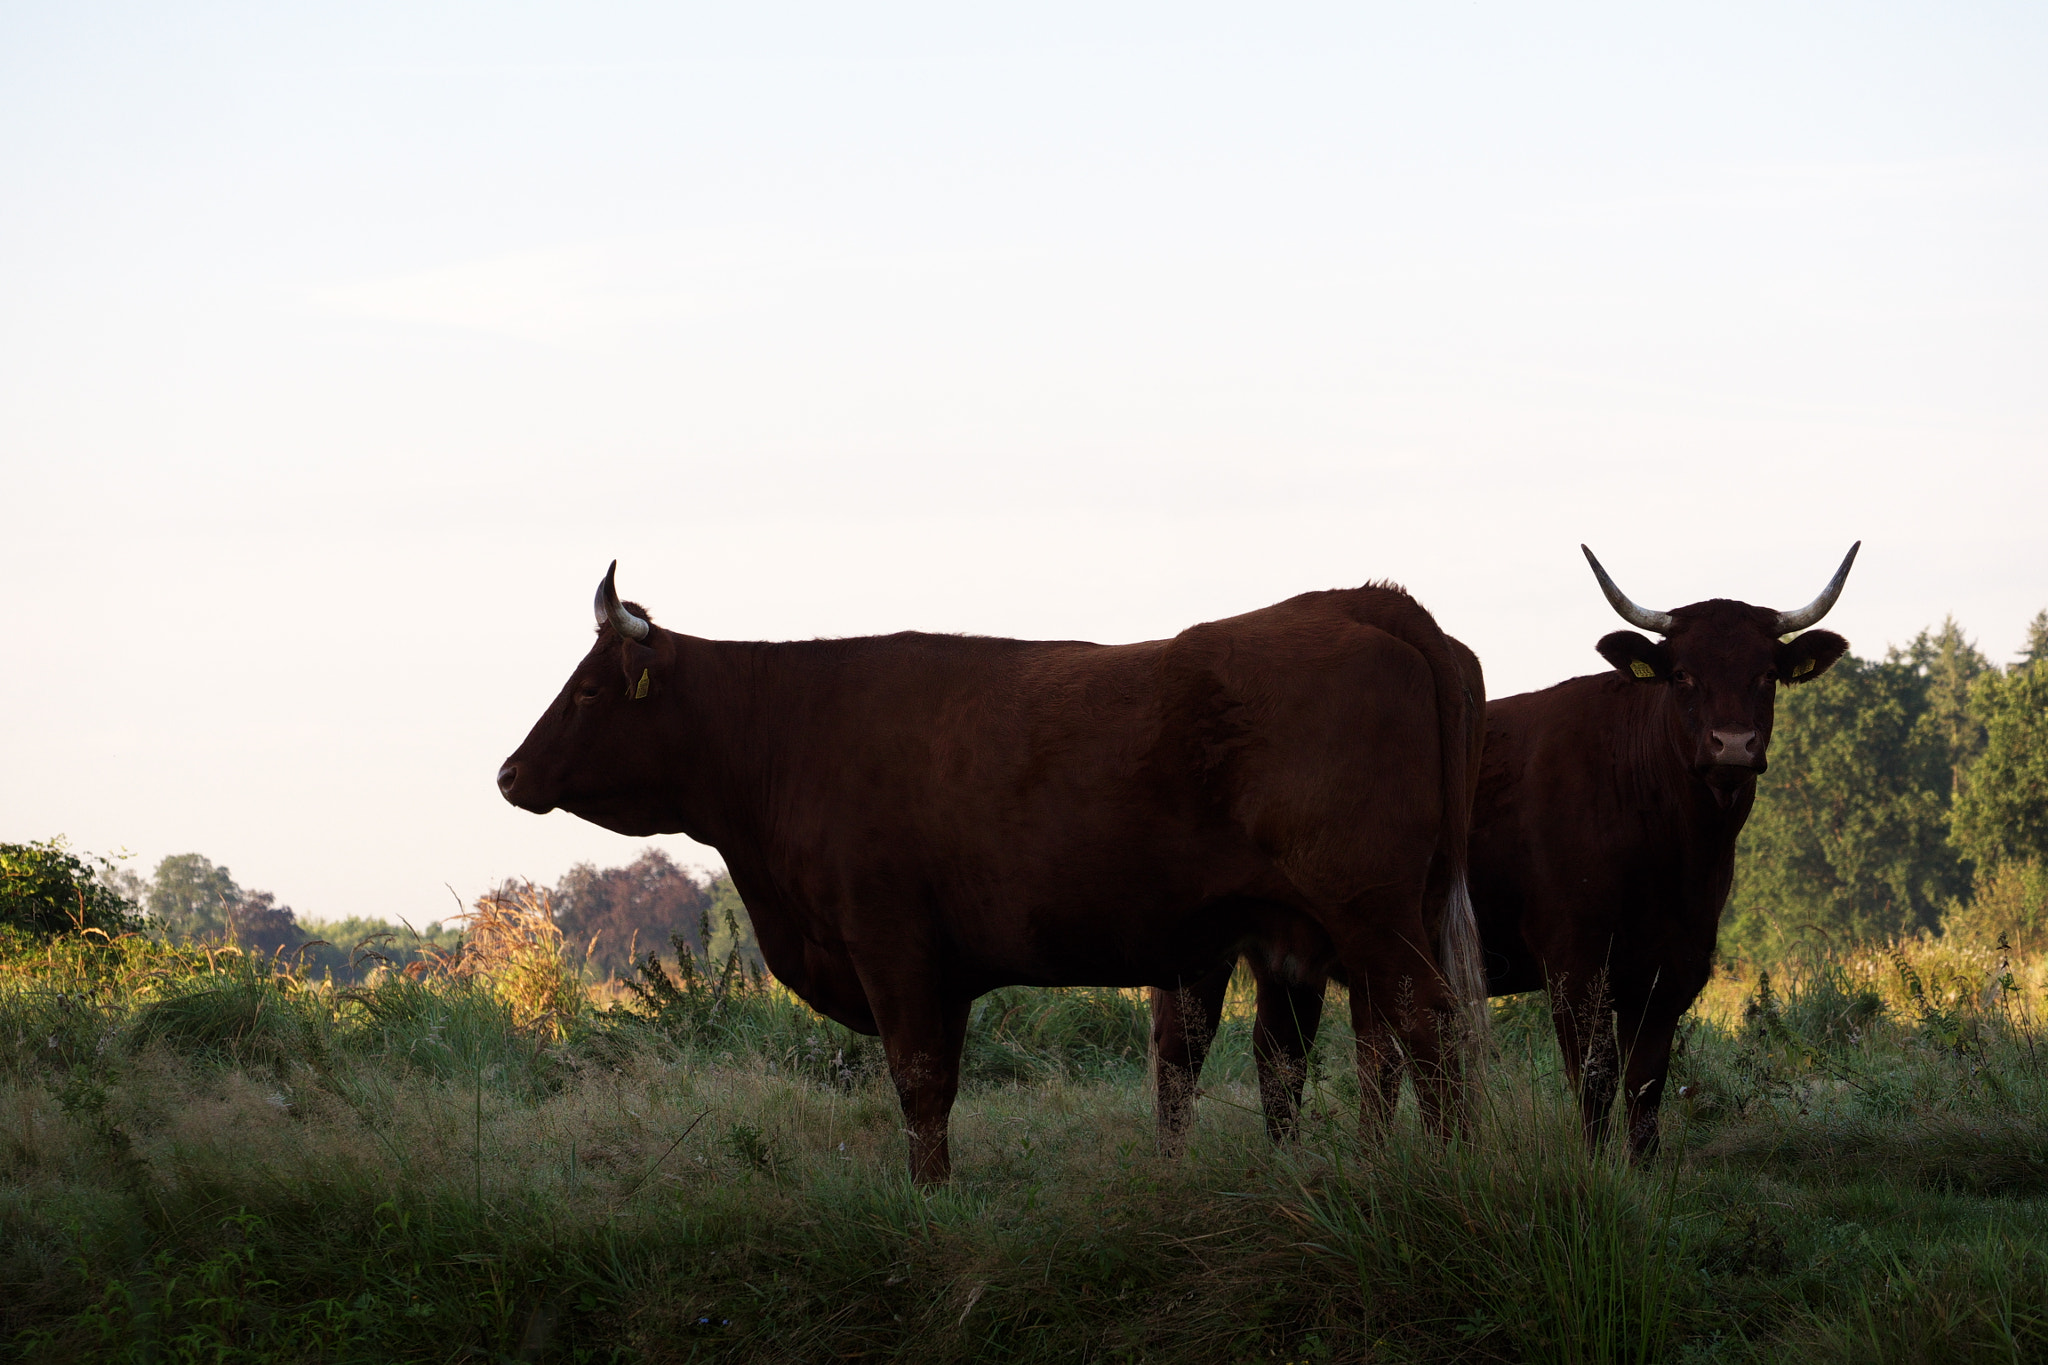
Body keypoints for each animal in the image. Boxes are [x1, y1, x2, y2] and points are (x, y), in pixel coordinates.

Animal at [495, 564, 1490, 1186]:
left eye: (588, 689)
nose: (508, 774)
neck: (784, 732)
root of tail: (1366, 604)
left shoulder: (890, 945)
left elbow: (917, 1082)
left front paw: (929, 1203)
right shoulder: (946, 970)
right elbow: (939, 1086)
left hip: (1371, 914)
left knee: (1427, 1028)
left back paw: (1447, 1174)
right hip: (1362, 922)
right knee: (1388, 1042)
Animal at [1163, 544, 1867, 1162]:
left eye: (1767, 675)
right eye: (1682, 674)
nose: (1733, 745)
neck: (1673, 852)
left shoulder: (1674, 968)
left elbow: (1646, 1088)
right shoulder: (1574, 962)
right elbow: (1595, 1080)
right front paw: (1596, 1175)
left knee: (1287, 1055)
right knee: (1184, 1049)